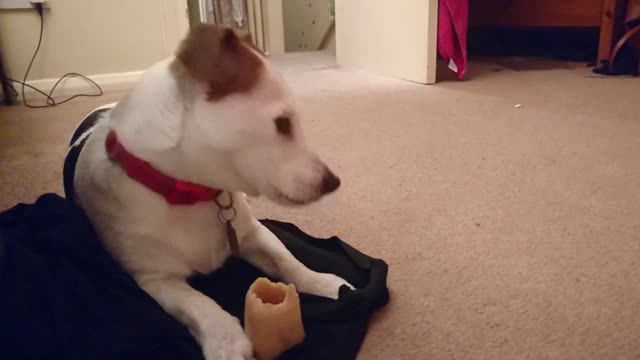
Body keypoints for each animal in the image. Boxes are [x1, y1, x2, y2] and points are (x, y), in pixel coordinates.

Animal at [67, 23, 356, 358]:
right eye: (283, 123)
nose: (333, 182)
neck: (193, 192)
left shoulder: (252, 234)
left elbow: (288, 261)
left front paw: (324, 284)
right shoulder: (155, 279)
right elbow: (199, 304)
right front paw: (226, 341)